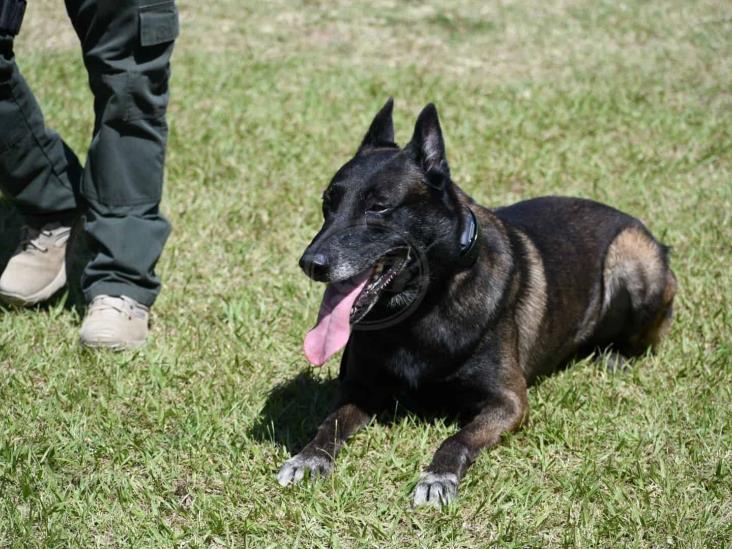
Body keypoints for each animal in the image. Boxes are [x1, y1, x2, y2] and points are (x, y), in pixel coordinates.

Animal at [278, 98, 676, 506]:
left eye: (379, 207)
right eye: (328, 203)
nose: (311, 263)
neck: (423, 306)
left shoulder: (509, 402)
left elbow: (458, 438)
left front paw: (438, 477)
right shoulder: (360, 387)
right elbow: (330, 423)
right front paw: (309, 457)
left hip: (632, 259)